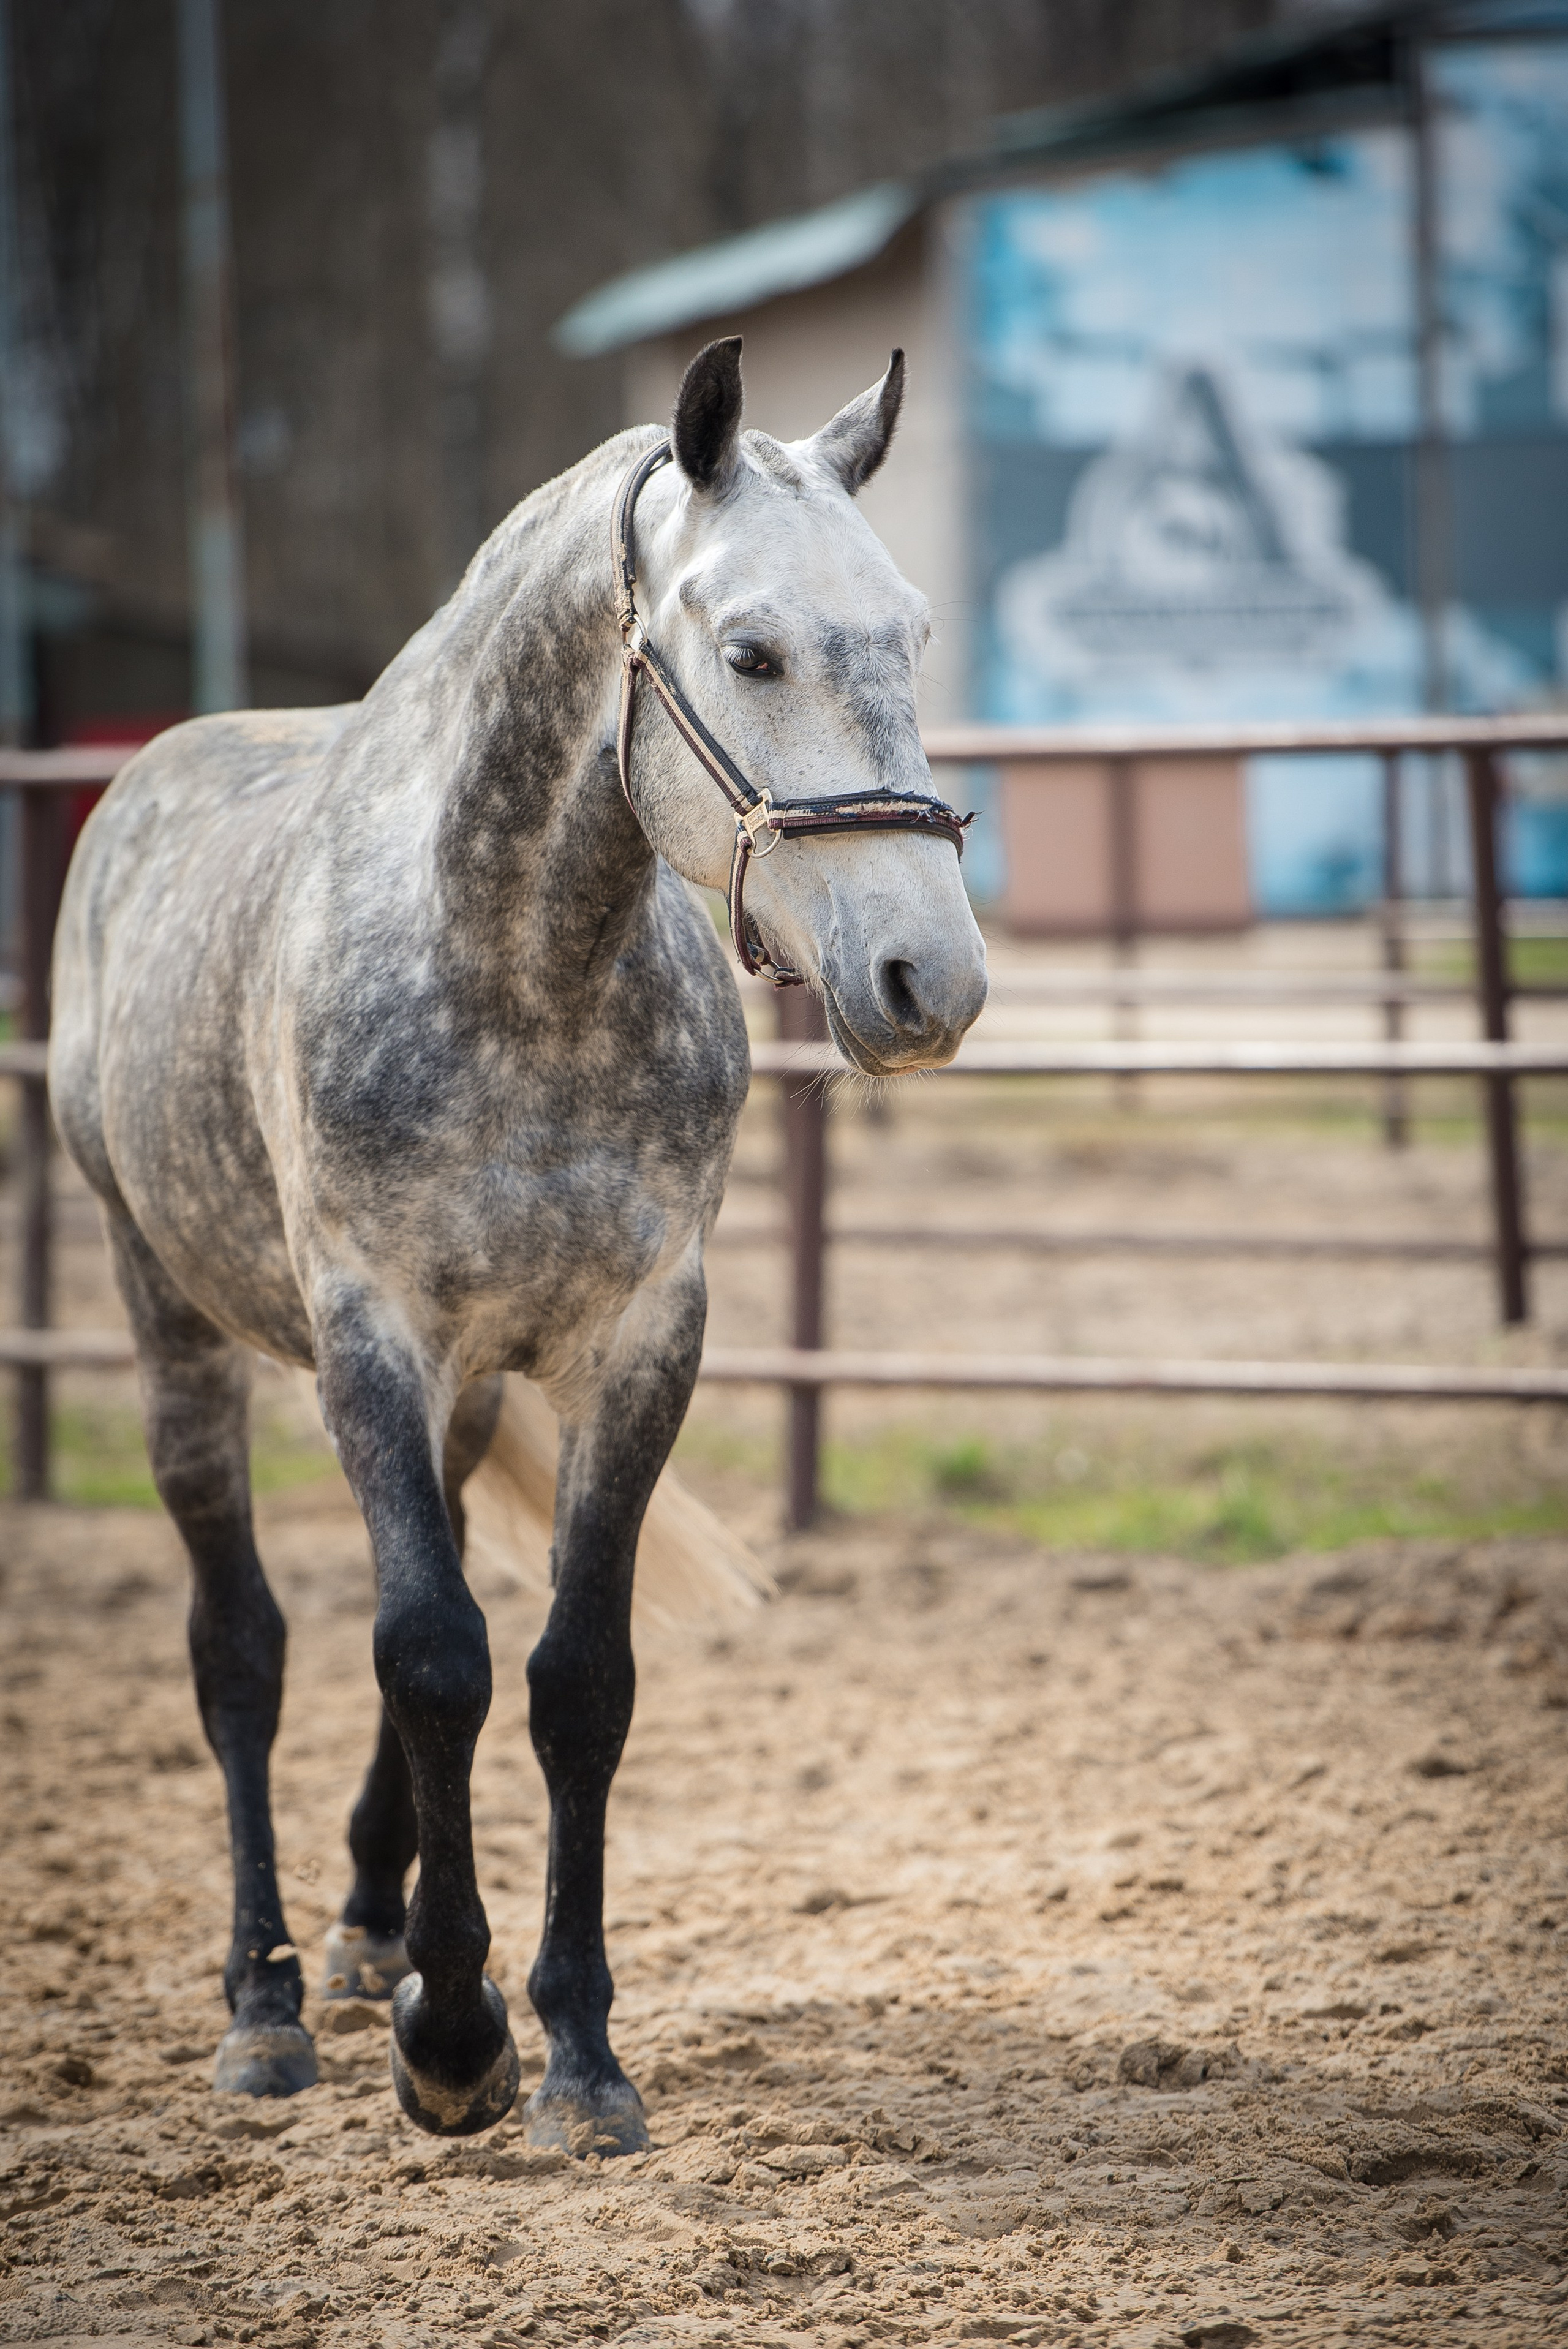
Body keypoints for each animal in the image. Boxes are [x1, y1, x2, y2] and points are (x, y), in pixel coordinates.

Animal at [48, 337, 988, 2150]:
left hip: (476, 1380)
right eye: (750, 649)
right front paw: (455, 2041)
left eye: (910, 633)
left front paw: (572, 2048)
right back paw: (270, 2001)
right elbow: (425, 1655)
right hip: (169, 1317)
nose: (931, 981)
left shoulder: (635, 1339)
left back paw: (368, 1929)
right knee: (241, 1647)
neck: (518, 973)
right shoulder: (368, 1336)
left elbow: (566, 1674)